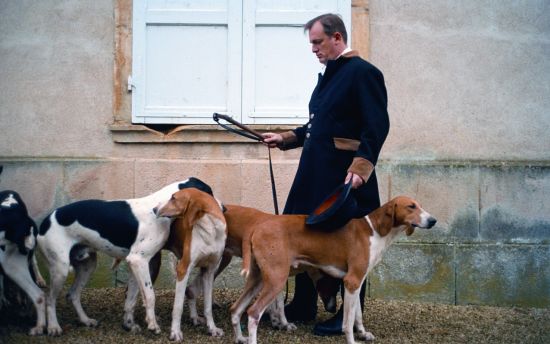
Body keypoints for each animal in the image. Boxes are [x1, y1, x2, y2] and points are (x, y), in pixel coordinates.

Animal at [36, 177, 212, 336]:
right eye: (209, 193)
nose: (219, 208)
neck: (158, 209)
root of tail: (44, 222)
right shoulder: (139, 261)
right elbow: (149, 296)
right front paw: (152, 325)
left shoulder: (135, 265)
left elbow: (131, 300)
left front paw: (128, 325)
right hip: (60, 269)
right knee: (50, 299)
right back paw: (53, 327)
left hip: (88, 265)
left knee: (72, 294)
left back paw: (85, 320)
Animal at [153, 188, 226, 342]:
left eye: (173, 198)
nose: (154, 209)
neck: (210, 230)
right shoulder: (183, 269)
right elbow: (178, 307)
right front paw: (175, 332)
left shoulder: (209, 272)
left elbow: (207, 307)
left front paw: (212, 329)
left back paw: (195, 318)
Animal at [231, 196, 438, 344]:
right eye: (411, 206)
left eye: (420, 205)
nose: (433, 220)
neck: (375, 230)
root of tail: (257, 227)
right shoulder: (352, 281)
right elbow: (348, 321)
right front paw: (352, 341)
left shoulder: (357, 282)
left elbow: (358, 315)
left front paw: (363, 334)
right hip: (276, 279)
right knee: (253, 313)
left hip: (258, 280)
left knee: (235, 310)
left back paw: (240, 338)